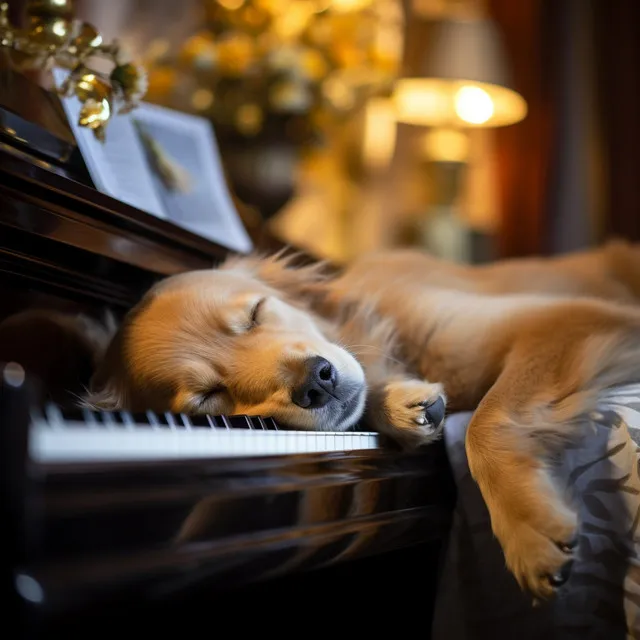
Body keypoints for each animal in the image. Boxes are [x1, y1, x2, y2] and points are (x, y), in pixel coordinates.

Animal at [85, 239, 640, 600]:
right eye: (209, 397)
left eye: (256, 314)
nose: (318, 381)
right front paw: (403, 404)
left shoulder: (568, 317)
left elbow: (487, 419)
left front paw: (528, 531)